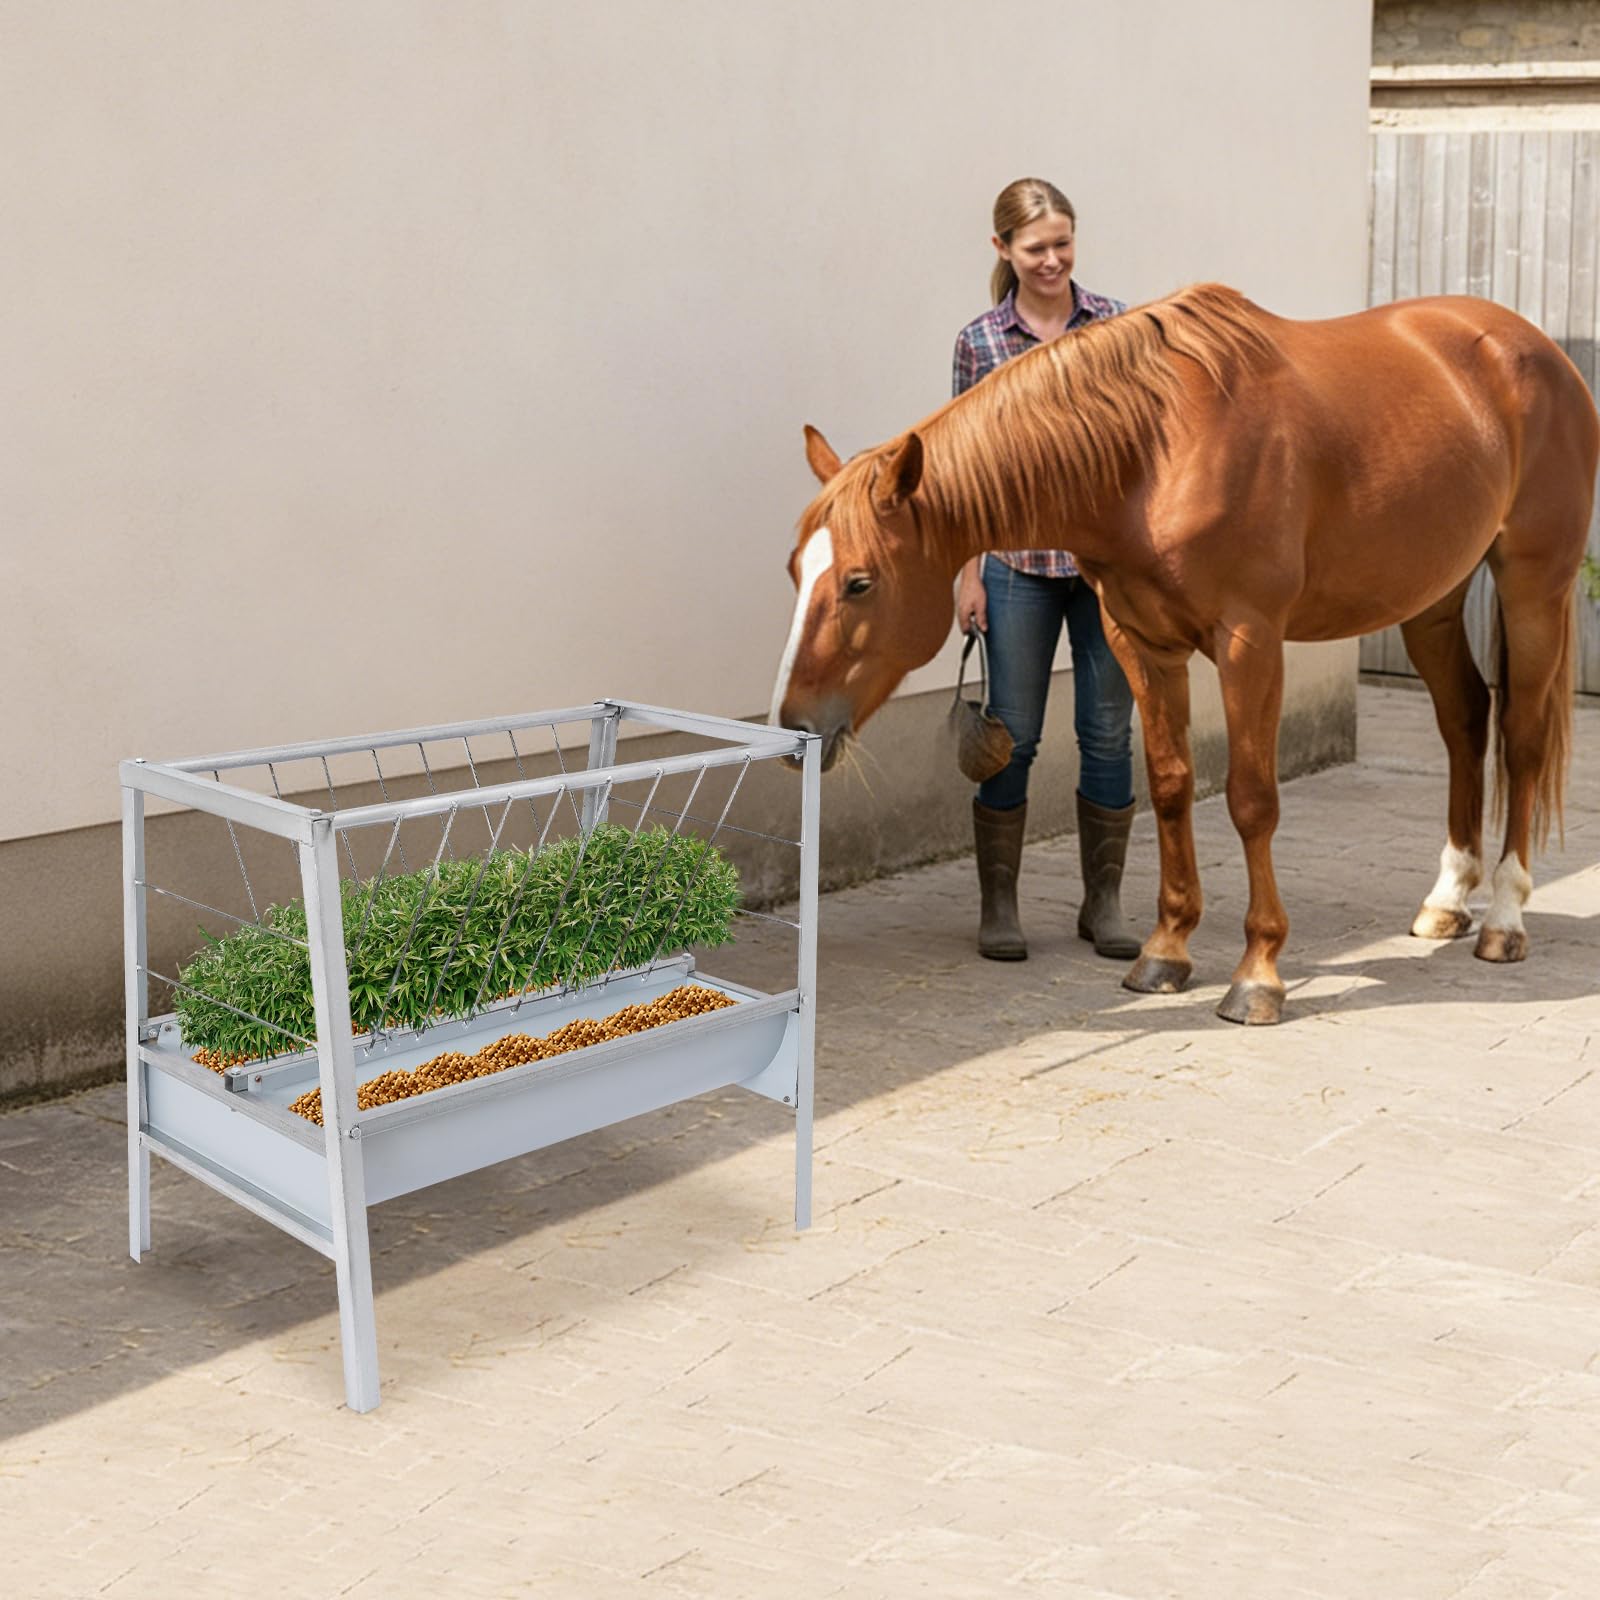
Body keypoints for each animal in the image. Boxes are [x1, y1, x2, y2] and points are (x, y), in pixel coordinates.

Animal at [770, 284, 1599, 1025]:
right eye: (794, 569)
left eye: (860, 582)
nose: (794, 727)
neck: (1156, 453)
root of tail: (1539, 350)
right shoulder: (1141, 643)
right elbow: (1169, 788)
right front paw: (1165, 952)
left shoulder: (1249, 642)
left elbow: (1251, 799)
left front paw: (1258, 974)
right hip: (1431, 596)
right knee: (1465, 719)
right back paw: (1446, 900)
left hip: (1534, 586)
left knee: (1521, 737)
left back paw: (1504, 919)